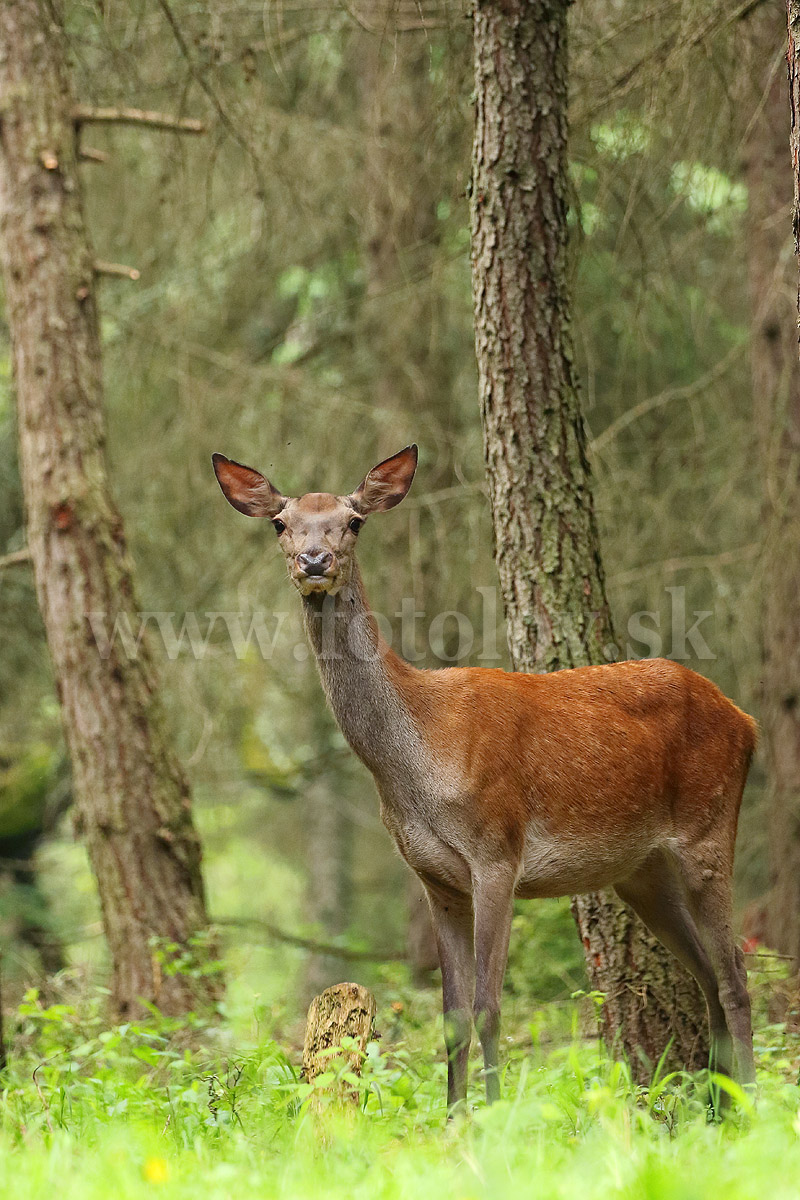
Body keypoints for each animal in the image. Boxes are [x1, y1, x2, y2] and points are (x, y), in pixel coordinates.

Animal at [211, 446, 758, 1108]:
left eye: (353, 521)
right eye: (281, 523)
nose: (315, 561)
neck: (418, 760)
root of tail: (746, 721)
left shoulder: (498, 852)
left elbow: (489, 1008)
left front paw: (495, 1118)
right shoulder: (435, 877)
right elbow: (450, 1017)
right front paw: (454, 1120)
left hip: (709, 825)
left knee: (735, 973)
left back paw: (753, 1106)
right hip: (642, 870)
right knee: (708, 974)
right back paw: (719, 1110)